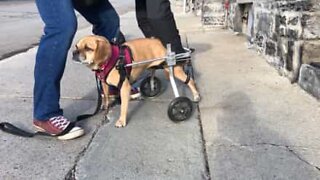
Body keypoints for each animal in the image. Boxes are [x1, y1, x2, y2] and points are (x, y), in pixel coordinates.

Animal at [72, 35, 200, 127]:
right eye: (76, 46)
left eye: (88, 48)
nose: (74, 52)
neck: (109, 61)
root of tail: (156, 40)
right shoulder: (104, 84)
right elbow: (107, 98)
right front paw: (105, 106)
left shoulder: (124, 87)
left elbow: (123, 106)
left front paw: (122, 120)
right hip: (153, 66)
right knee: (152, 77)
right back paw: (152, 88)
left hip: (172, 69)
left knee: (190, 80)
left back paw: (195, 96)